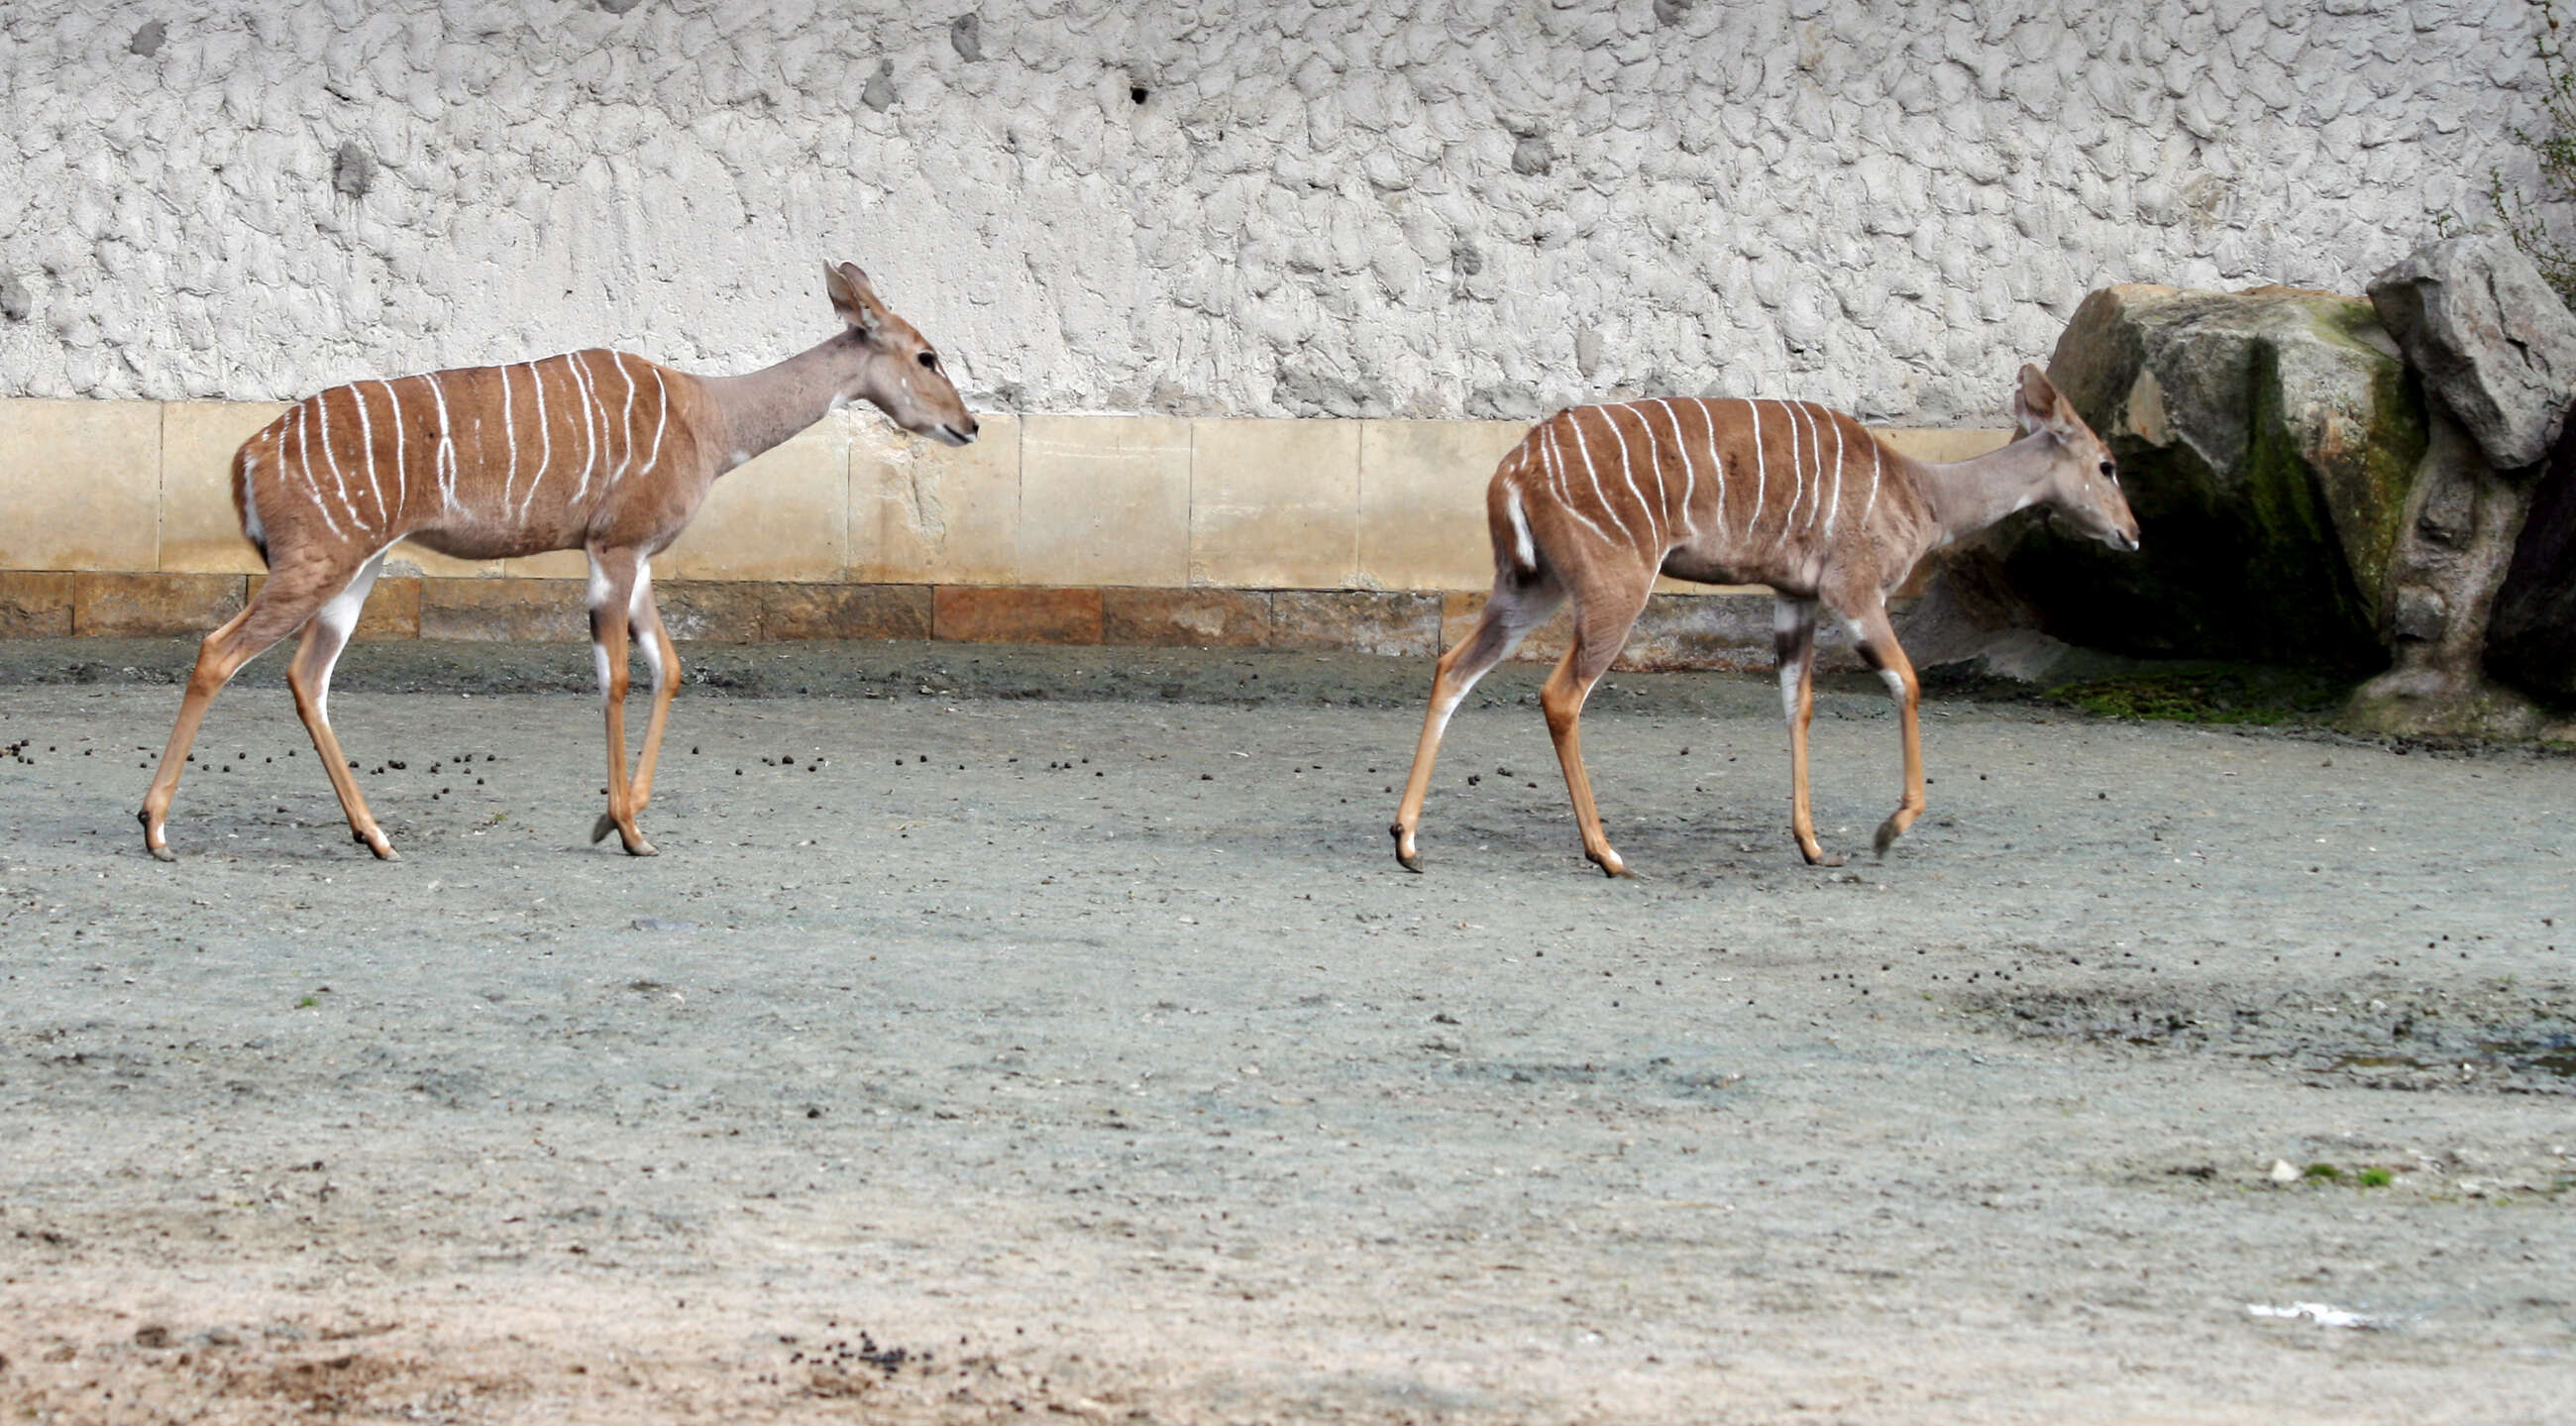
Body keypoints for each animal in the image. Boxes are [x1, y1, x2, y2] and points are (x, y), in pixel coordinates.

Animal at [138, 262, 973, 861]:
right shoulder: (616, 548)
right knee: (219, 651)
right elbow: (619, 677)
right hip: (315, 562)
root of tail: (248, 455)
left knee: (306, 677)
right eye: (926, 354)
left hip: (356, 569)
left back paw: (374, 834)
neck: (708, 418)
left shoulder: (637, 557)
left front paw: (623, 818)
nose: (968, 425)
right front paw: (625, 827)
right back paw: (156, 827)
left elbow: (669, 667)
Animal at [1391, 361, 2132, 871]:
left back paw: (1407, 839)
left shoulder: (1794, 596)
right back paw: (1606, 853)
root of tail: (1516, 467)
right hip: (1613, 586)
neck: (1922, 494)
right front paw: (1889, 828)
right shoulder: (1855, 592)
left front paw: (1812, 844)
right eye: (2107, 464)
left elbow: (1795, 704)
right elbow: (1908, 682)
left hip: (1530, 584)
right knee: (1560, 694)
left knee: (1453, 667)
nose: (2133, 533)